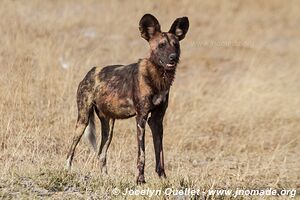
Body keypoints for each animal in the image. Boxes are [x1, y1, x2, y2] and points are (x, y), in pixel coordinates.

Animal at [67, 13, 190, 184]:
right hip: (82, 121)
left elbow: (160, 155)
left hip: (108, 128)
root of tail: (89, 73)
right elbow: (142, 155)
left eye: (176, 45)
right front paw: (140, 180)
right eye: (161, 45)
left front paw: (163, 178)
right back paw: (66, 171)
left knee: (101, 154)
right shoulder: (141, 118)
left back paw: (106, 178)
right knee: (70, 151)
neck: (157, 77)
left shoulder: (156, 120)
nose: (173, 57)